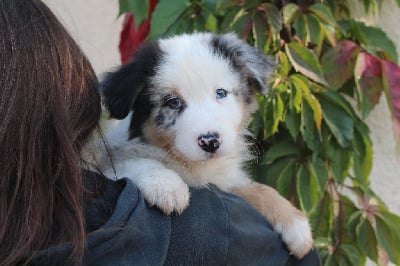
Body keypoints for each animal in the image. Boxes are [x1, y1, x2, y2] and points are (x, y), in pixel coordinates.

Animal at [96, 32, 312, 258]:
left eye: (220, 93)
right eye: (173, 102)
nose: (210, 141)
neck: (192, 165)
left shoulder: (224, 181)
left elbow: (259, 189)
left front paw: (297, 226)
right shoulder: (109, 160)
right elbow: (137, 162)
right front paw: (166, 185)